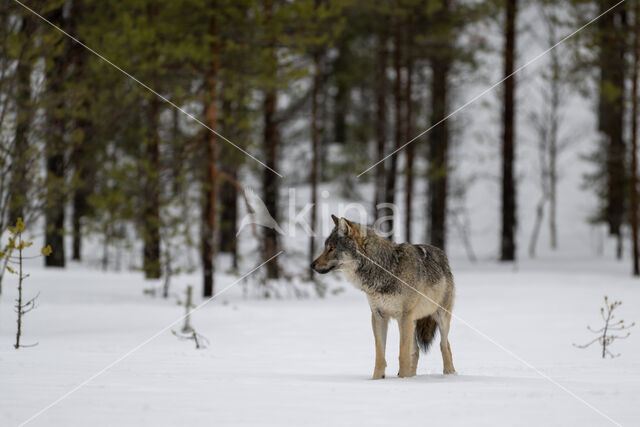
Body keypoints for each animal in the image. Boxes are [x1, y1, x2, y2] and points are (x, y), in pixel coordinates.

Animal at [310, 216, 456, 380]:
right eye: (326, 248)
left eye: (331, 248)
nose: (312, 265)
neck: (386, 269)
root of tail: (441, 253)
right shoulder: (378, 316)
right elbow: (380, 355)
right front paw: (378, 379)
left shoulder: (403, 316)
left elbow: (402, 354)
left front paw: (402, 379)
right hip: (413, 322)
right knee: (416, 350)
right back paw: (412, 376)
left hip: (440, 317)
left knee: (445, 345)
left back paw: (449, 374)